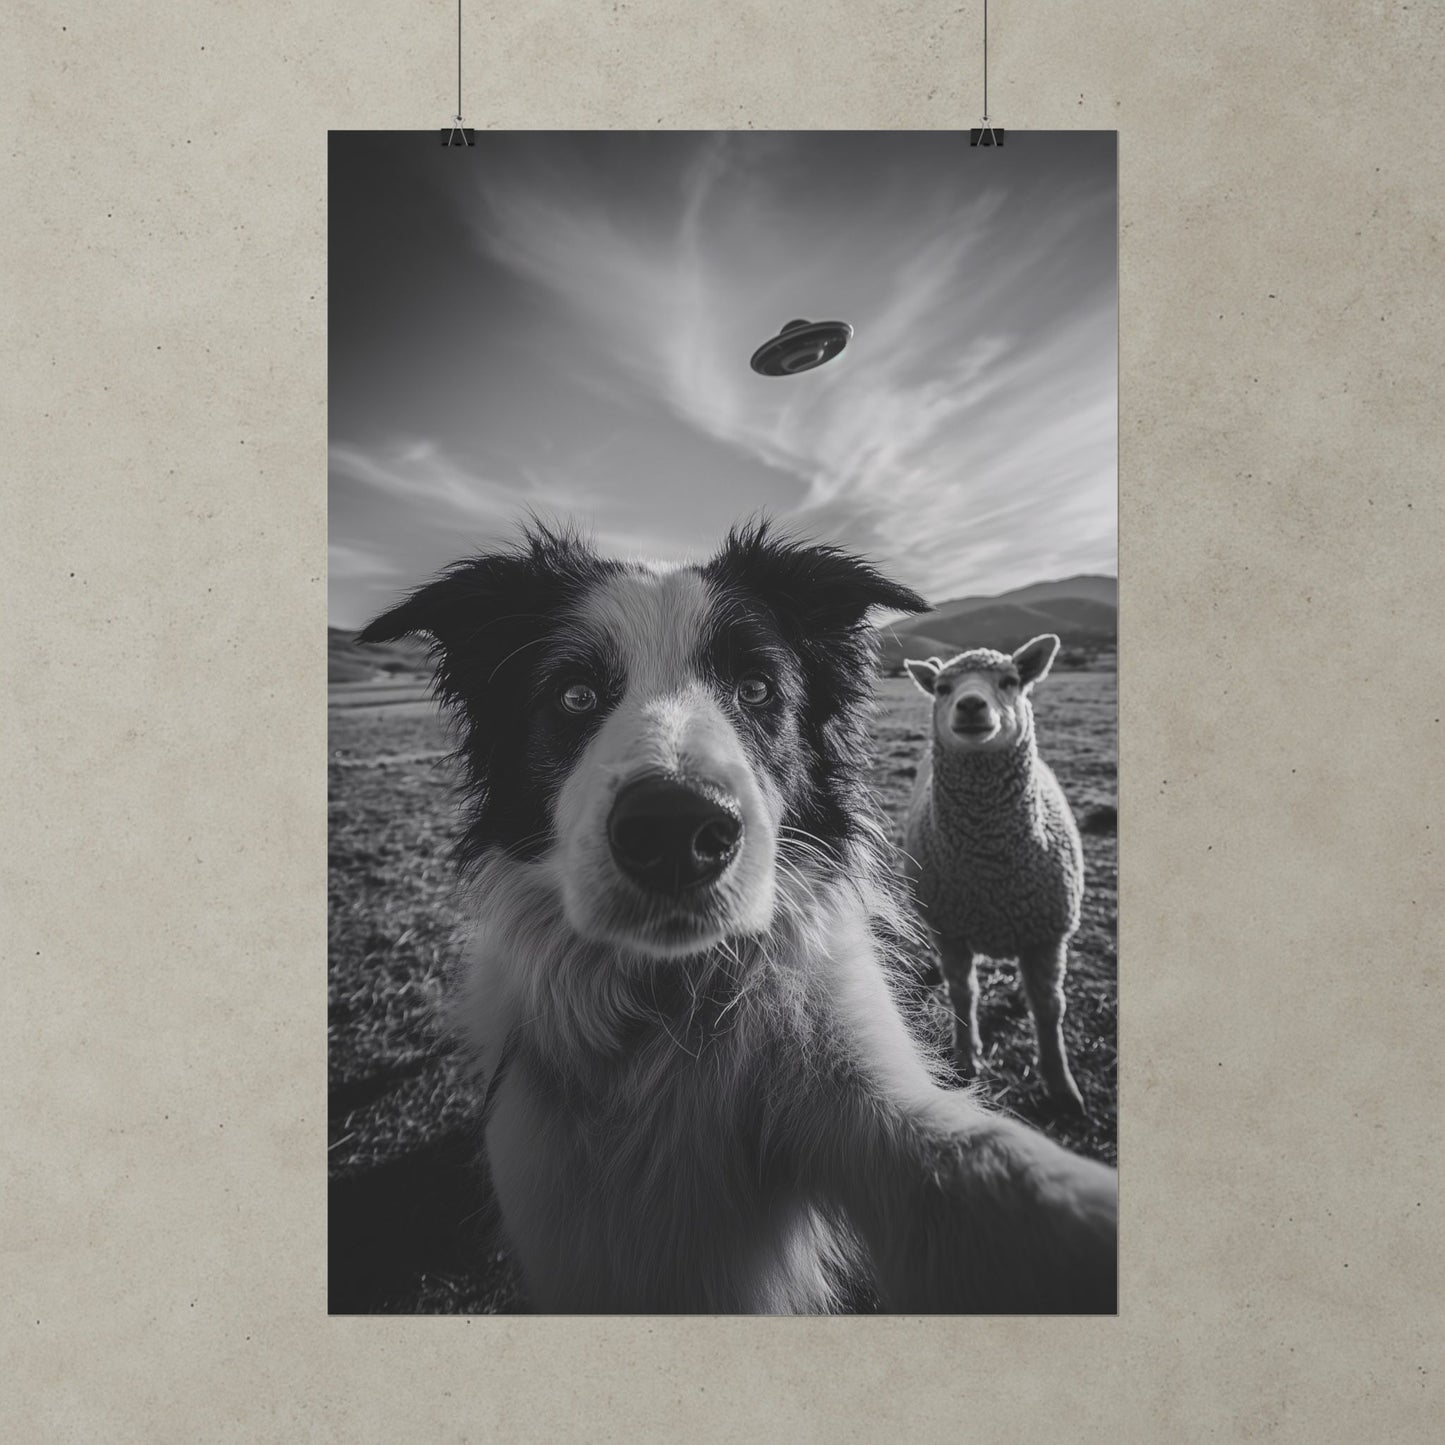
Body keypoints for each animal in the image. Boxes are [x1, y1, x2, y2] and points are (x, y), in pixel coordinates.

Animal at [902, 634, 1088, 1116]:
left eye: (1010, 681)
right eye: (942, 688)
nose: (970, 704)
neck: (991, 867)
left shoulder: (1047, 933)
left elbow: (1050, 1008)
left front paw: (1061, 1085)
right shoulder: (951, 928)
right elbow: (962, 994)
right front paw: (966, 1060)